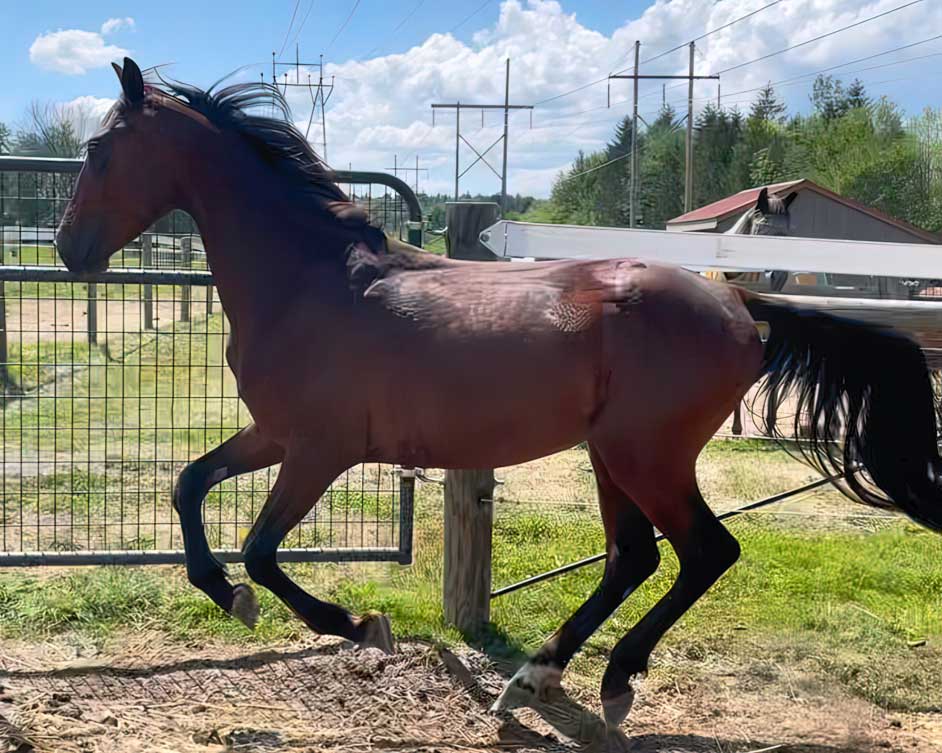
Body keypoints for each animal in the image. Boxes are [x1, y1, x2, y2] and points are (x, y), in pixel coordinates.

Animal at [56, 59, 942, 730]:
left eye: (99, 148)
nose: (69, 250)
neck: (311, 277)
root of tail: (738, 302)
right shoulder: (275, 435)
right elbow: (189, 486)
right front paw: (229, 596)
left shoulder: (318, 450)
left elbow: (263, 550)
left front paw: (357, 624)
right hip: (612, 454)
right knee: (635, 555)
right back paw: (538, 677)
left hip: (646, 455)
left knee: (703, 552)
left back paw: (609, 679)